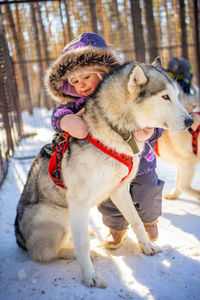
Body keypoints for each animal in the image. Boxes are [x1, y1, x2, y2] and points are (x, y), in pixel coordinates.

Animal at [14, 57, 193, 288]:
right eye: (165, 97)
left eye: (177, 96)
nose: (190, 121)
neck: (116, 130)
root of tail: (20, 239)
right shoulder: (78, 200)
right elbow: (82, 243)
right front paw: (90, 275)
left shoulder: (120, 190)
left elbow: (136, 220)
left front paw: (146, 246)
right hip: (60, 216)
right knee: (46, 252)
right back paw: (82, 253)